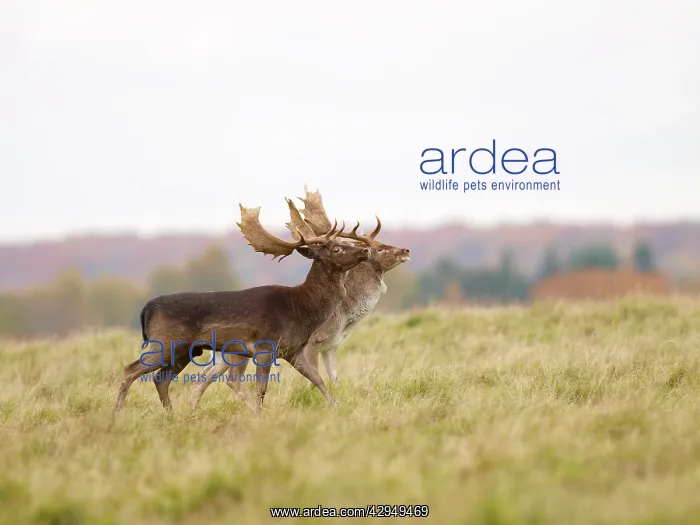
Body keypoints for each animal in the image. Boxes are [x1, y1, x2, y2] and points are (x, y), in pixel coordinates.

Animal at [113, 201, 372, 415]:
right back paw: (117, 415)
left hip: (186, 350)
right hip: (166, 342)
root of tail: (146, 308)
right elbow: (261, 387)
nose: (365, 250)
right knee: (130, 370)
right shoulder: (265, 346)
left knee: (161, 378)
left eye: (344, 243)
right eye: (336, 249)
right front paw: (259, 415)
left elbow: (318, 379)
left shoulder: (292, 350)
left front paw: (338, 406)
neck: (301, 308)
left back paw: (172, 415)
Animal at [192, 187, 410, 408]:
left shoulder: (330, 347)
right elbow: (309, 381)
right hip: (236, 351)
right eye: (380, 248)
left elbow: (330, 378)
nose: (405, 250)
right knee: (227, 379)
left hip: (223, 354)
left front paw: (336, 404)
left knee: (205, 377)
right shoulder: (312, 343)